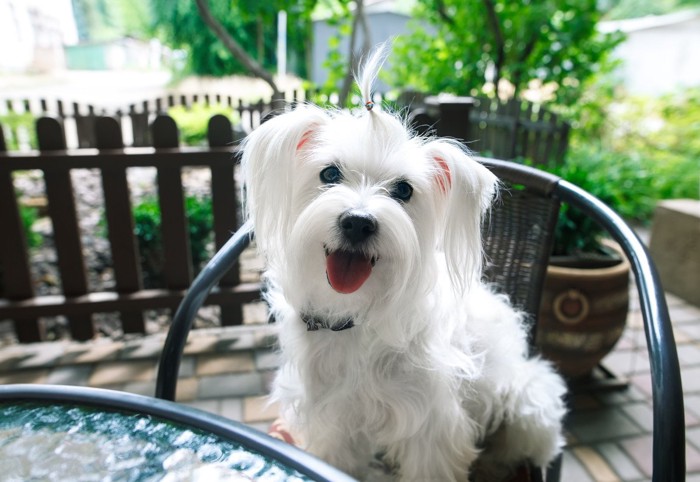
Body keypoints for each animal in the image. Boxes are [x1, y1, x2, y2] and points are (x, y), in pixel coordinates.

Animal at [243, 50, 568, 482]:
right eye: (329, 173)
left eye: (404, 190)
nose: (358, 222)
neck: (356, 317)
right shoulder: (332, 420)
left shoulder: (430, 427)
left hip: (528, 403)